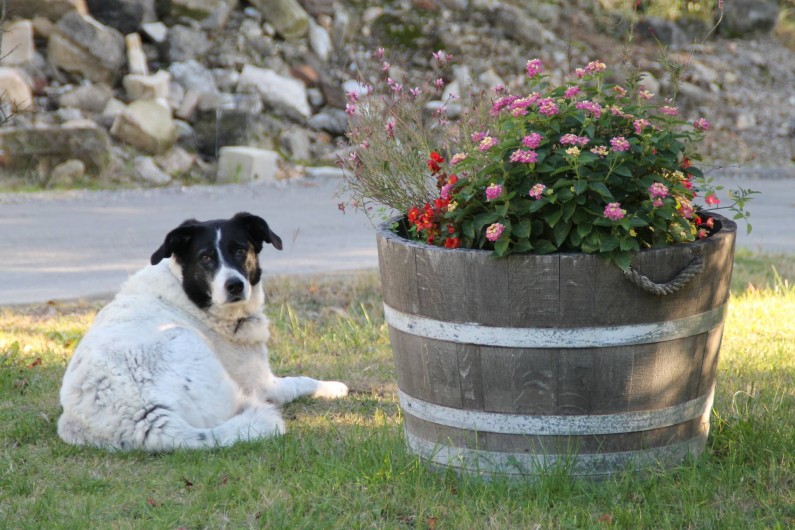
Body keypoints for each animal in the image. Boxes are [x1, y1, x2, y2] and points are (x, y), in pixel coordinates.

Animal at [57, 211, 350, 450]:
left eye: (240, 251)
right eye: (206, 257)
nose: (235, 285)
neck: (187, 293)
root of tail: (144, 418)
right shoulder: (264, 384)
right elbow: (301, 381)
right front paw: (332, 386)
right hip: (187, 342)